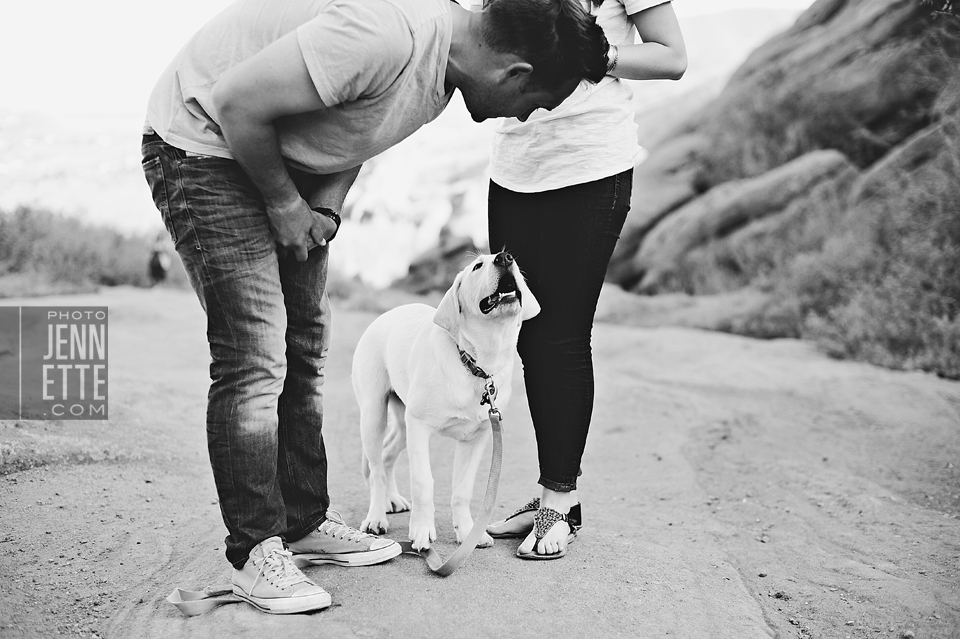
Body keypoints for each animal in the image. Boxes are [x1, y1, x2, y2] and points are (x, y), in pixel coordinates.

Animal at [354, 252, 540, 552]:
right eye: (477, 266)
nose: (504, 257)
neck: (477, 365)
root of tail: (387, 314)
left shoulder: (477, 437)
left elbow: (462, 490)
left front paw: (467, 533)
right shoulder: (419, 427)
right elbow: (423, 482)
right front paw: (421, 532)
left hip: (403, 423)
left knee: (387, 454)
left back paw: (392, 500)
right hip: (374, 415)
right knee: (376, 468)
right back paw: (376, 516)